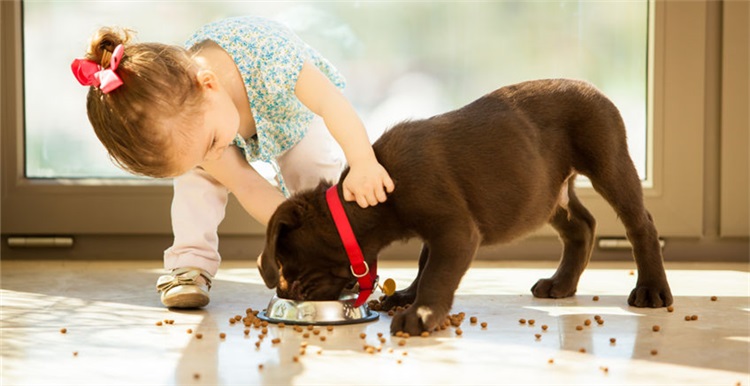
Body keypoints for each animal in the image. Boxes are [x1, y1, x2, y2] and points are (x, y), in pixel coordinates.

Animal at [258, 78, 676, 334]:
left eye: (286, 264)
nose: (285, 292)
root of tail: (592, 87)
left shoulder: (454, 229)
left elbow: (437, 272)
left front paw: (420, 314)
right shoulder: (439, 231)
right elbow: (425, 263)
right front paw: (407, 296)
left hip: (608, 160)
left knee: (640, 223)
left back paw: (651, 290)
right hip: (544, 193)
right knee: (582, 225)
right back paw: (561, 284)